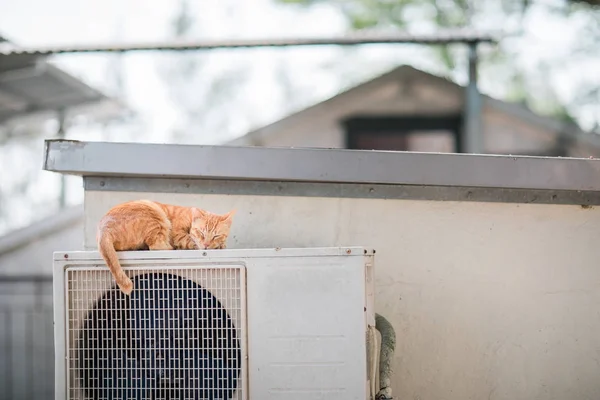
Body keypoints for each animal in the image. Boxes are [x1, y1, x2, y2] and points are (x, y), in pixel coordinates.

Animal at [97, 200, 236, 294]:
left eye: (216, 236)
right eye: (201, 233)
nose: (206, 244)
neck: (190, 218)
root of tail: (103, 228)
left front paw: (220, 245)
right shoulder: (178, 235)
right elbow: (190, 240)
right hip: (155, 215)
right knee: (155, 245)